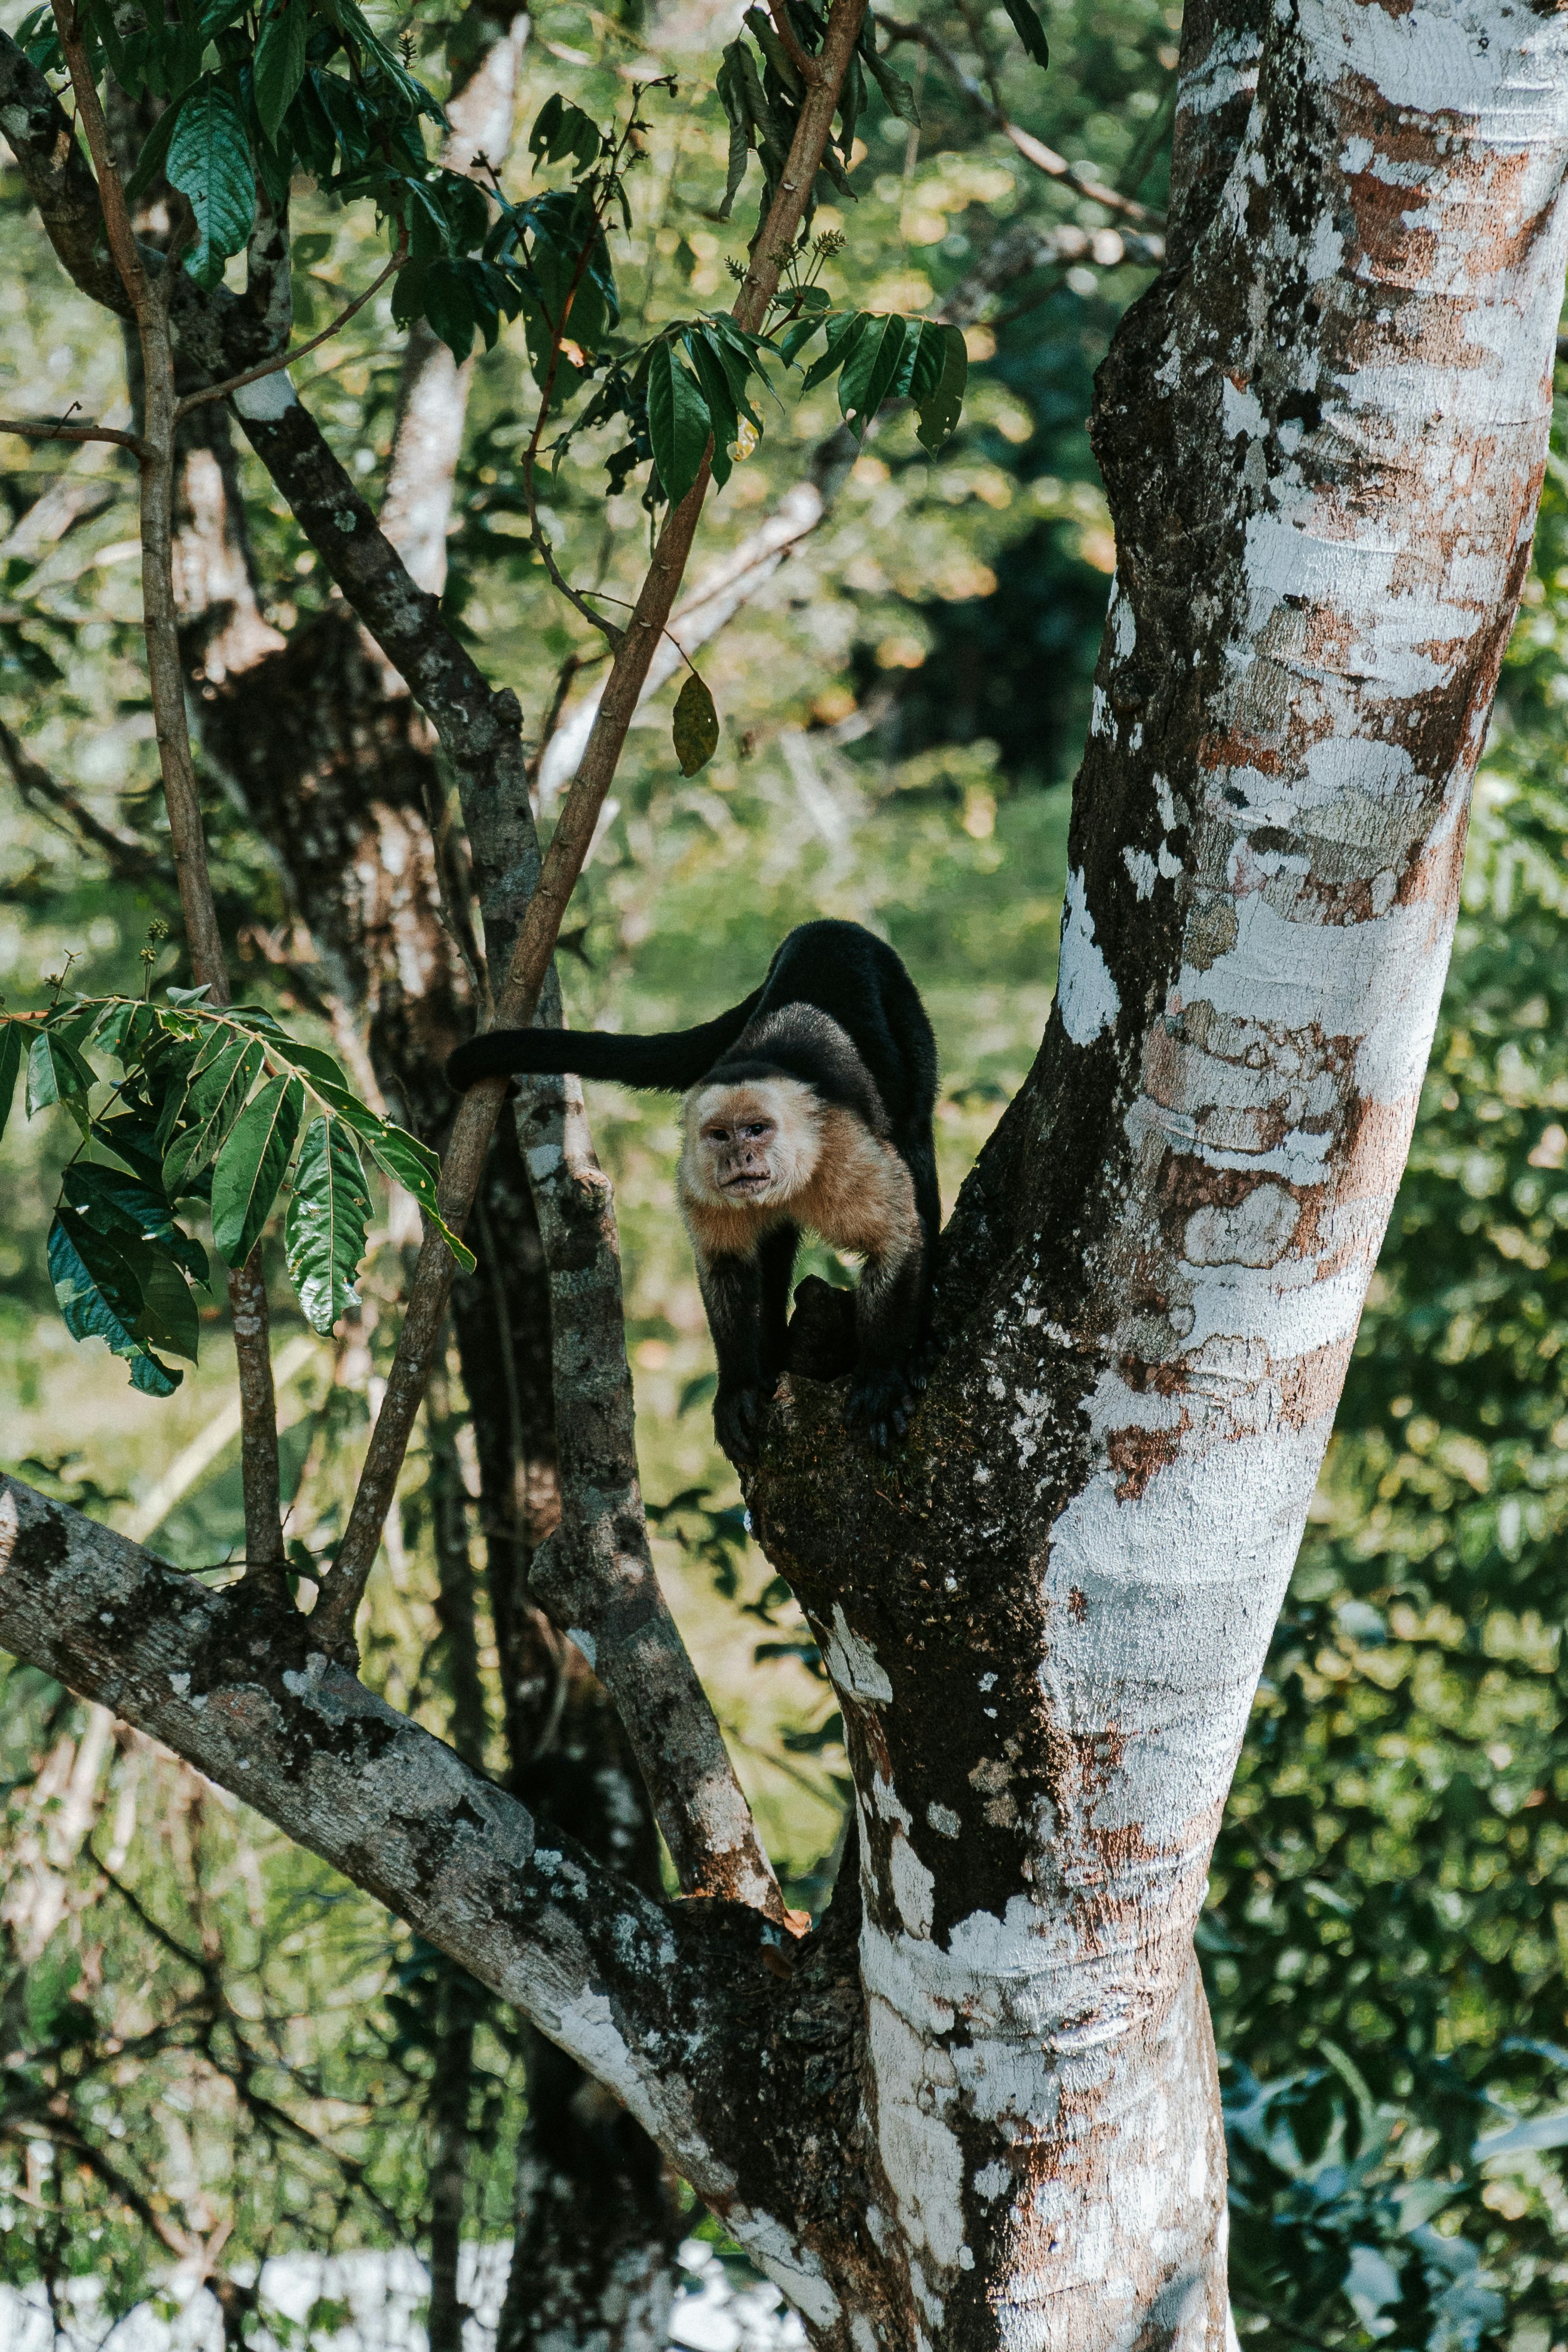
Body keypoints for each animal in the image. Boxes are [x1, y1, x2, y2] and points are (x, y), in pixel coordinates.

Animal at [446, 920, 939, 1461]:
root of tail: (823, 925)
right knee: (773, 1243)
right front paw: (740, 1386)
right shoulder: (698, 1181)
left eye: (757, 1130)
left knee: (914, 1139)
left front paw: (883, 1373)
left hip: (902, 1000)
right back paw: (770, 1353)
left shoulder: (843, 1150)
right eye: (720, 1136)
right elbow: (725, 1266)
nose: (740, 1159)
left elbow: (894, 1240)